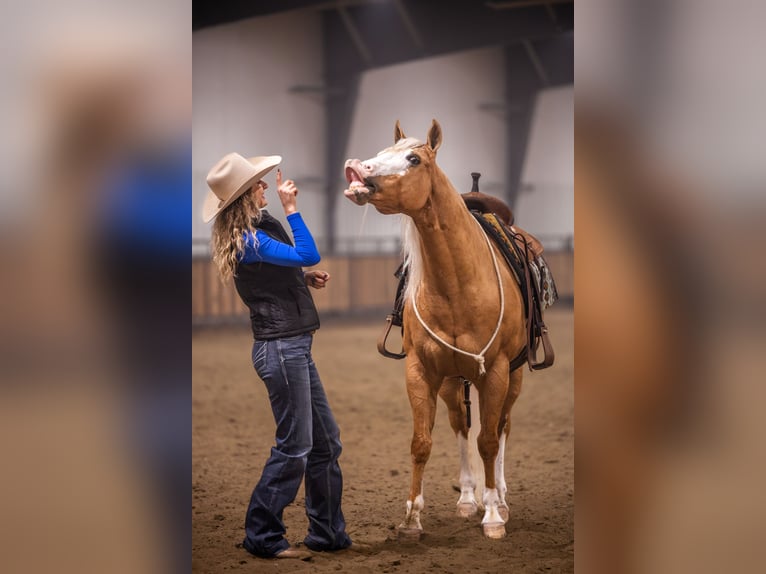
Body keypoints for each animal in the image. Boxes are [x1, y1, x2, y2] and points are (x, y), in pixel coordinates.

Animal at [343, 119, 527, 539]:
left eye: (414, 159)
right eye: (383, 152)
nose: (357, 168)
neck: (458, 284)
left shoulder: (496, 370)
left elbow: (488, 441)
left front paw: (493, 517)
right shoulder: (421, 370)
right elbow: (422, 442)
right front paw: (412, 517)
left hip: (515, 374)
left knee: (503, 427)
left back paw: (501, 498)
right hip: (452, 380)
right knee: (461, 424)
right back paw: (469, 499)